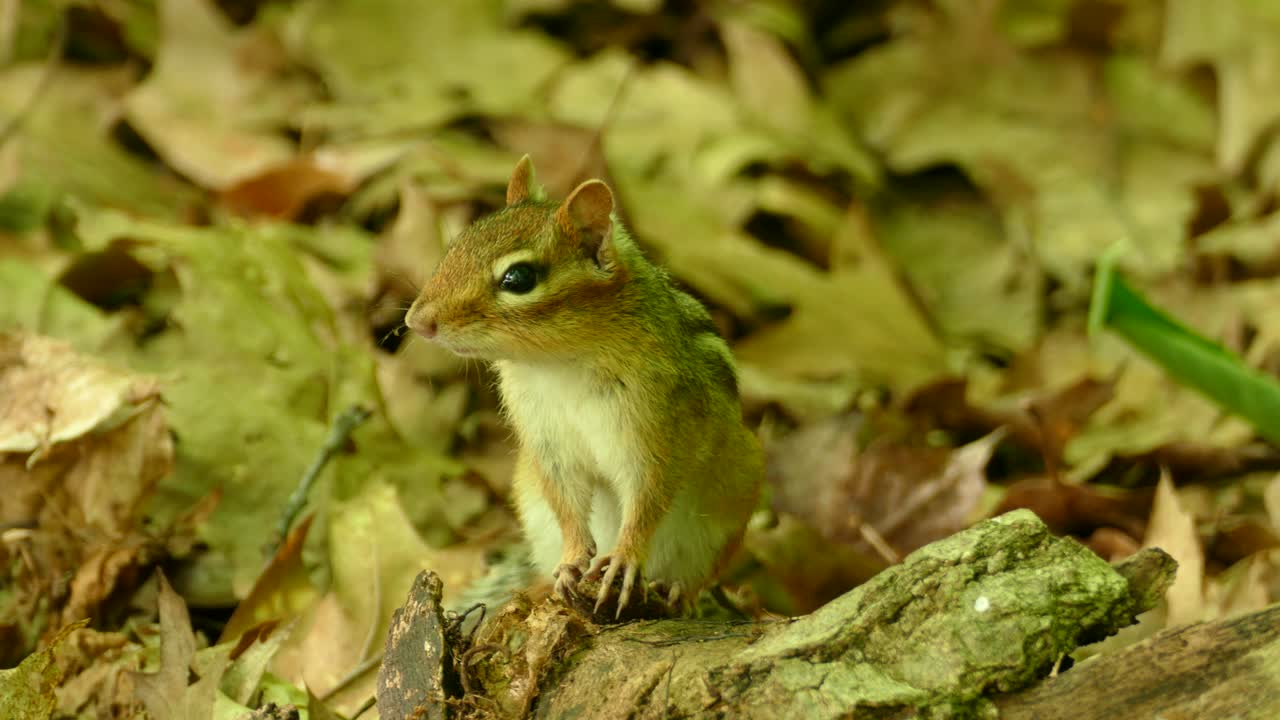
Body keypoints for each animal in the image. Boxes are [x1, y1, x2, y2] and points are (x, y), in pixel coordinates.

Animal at [405, 156, 762, 618]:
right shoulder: (547, 441)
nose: (416, 321)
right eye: (456, 247)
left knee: (696, 578)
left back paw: (677, 593)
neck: (559, 365)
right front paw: (573, 559)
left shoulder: (655, 432)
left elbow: (647, 498)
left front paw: (625, 558)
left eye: (518, 278)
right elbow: (566, 500)